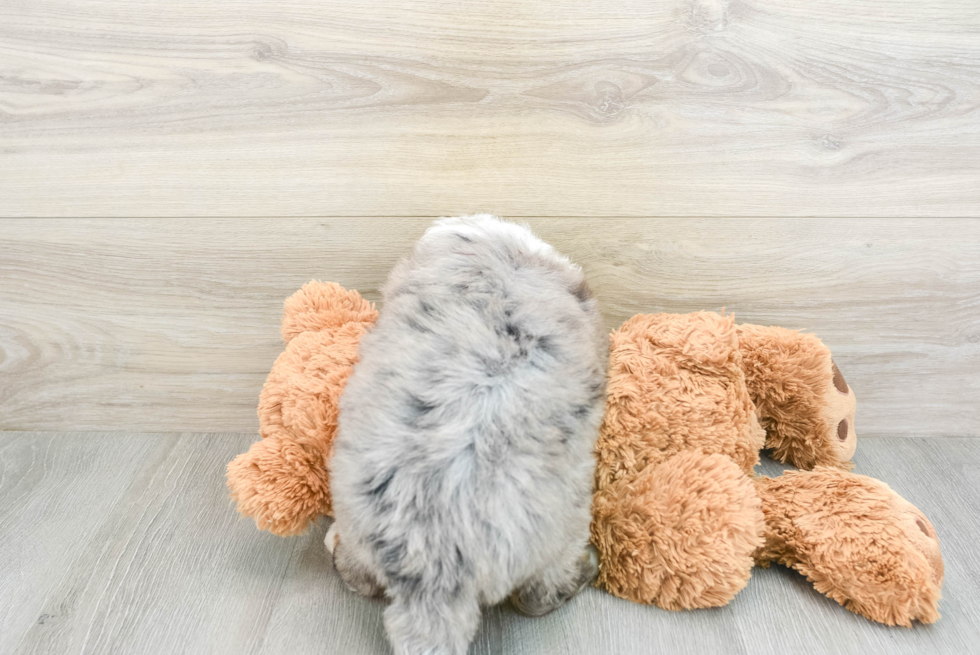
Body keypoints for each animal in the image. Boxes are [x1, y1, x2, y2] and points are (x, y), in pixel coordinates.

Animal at [328, 217, 604, 655]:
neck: (495, 260)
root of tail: (433, 574)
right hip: (564, 529)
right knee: (539, 594)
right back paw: (584, 571)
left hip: (355, 518)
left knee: (358, 575)